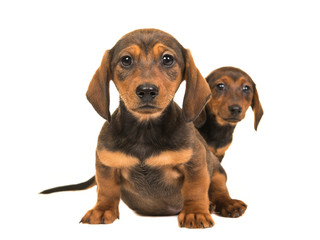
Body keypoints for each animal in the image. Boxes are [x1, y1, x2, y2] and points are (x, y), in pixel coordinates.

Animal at [40, 29, 248, 227]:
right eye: (126, 60)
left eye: (167, 59)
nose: (147, 90)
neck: (144, 131)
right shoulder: (106, 165)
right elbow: (106, 190)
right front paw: (102, 210)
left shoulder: (195, 164)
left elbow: (195, 190)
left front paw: (195, 212)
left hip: (217, 169)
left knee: (219, 188)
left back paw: (226, 204)